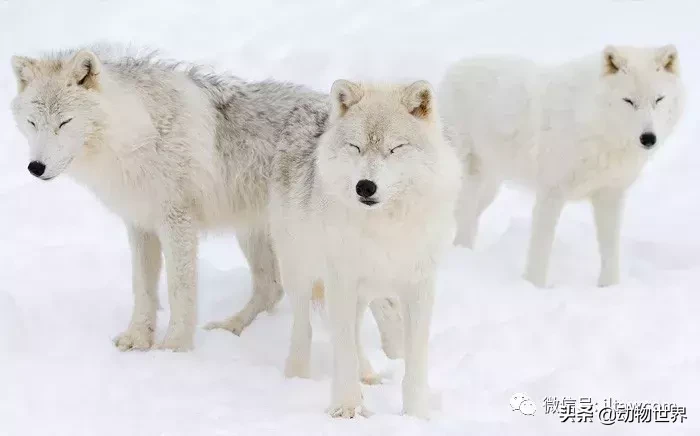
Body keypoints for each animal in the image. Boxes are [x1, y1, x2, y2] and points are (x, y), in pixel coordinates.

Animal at [9, 46, 404, 356]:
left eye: (64, 122)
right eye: (33, 123)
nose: (35, 167)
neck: (134, 136)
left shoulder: (177, 223)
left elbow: (179, 289)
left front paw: (174, 348)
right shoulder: (140, 225)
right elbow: (143, 289)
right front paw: (138, 339)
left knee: (382, 299)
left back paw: (392, 361)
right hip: (258, 235)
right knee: (271, 289)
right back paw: (231, 328)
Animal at [268, 79, 460, 418]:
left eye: (395, 148)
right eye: (355, 147)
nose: (365, 186)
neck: (385, 227)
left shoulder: (418, 286)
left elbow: (415, 359)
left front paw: (416, 415)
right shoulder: (342, 280)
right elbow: (342, 350)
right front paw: (346, 408)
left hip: (362, 291)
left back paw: (368, 374)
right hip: (300, 272)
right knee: (305, 327)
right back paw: (297, 375)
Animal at [438, 44, 684, 288]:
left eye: (658, 99)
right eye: (629, 101)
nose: (648, 138)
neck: (595, 128)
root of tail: (452, 70)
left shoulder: (610, 195)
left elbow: (610, 250)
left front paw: (609, 288)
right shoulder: (551, 193)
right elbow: (541, 248)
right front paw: (533, 287)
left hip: (488, 189)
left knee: (465, 219)